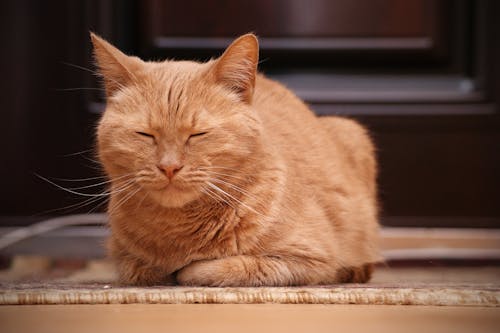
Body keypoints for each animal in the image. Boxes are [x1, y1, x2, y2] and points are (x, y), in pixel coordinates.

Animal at [91, 31, 378, 286]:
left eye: (198, 134)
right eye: (145, 134)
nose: (169, 167)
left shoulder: (309, 258)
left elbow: (220, 268)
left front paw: (189, 270)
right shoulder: (125, 260)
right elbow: (141, 269)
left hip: (352, 132)